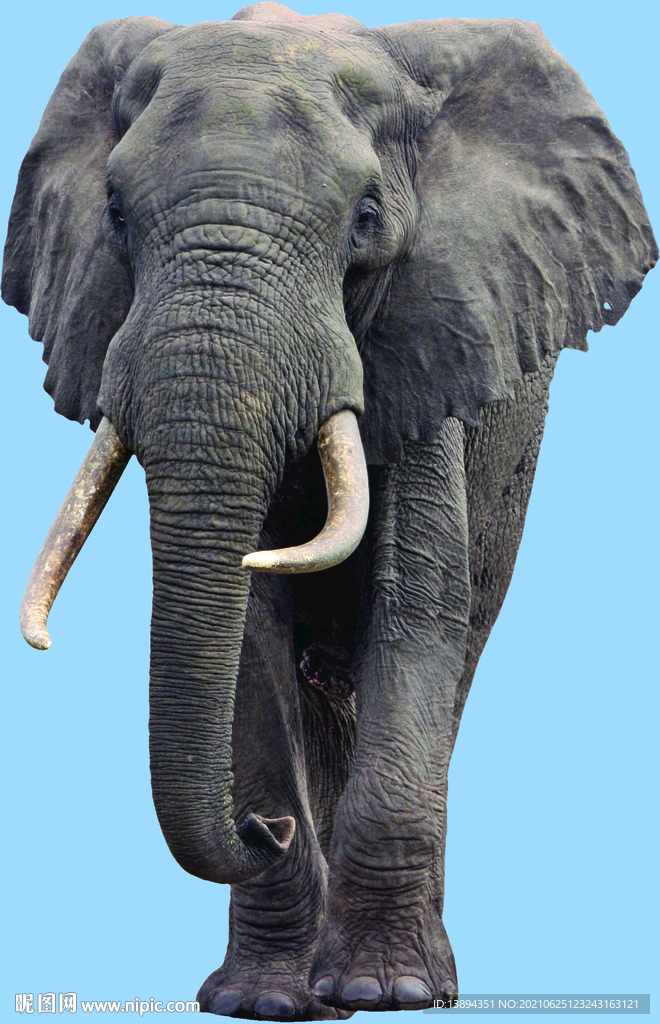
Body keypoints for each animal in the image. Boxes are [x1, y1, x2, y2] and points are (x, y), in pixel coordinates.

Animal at [3, 1, 655, 1018]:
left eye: (366, 219)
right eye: (114, 215)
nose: (259, 829)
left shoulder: (432, 336)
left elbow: (417, 611)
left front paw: (390, 989)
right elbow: (248, 638)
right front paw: (267, 1001)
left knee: (458, 647)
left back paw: (421, 981)